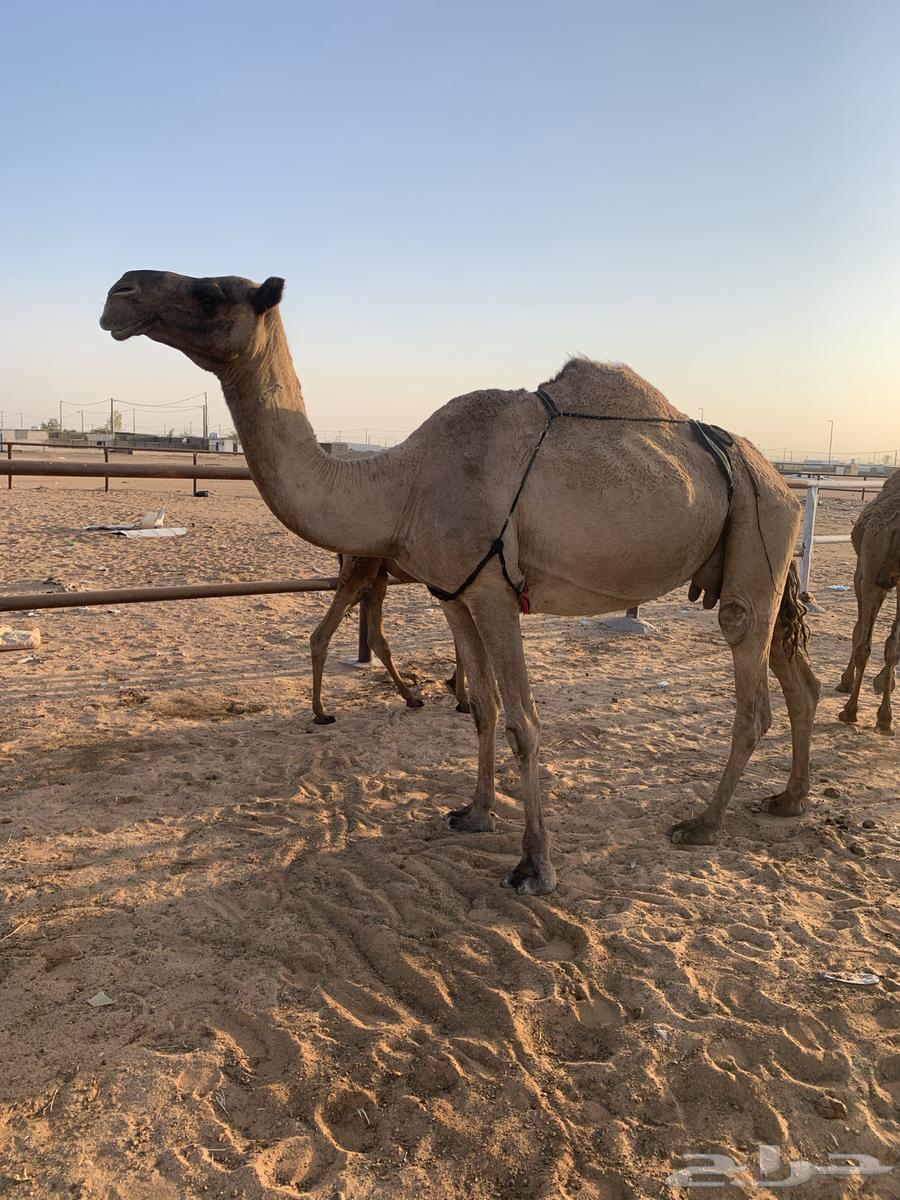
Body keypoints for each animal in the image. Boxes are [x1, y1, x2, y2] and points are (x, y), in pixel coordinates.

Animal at [310, 554, 468, 724]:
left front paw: (454, 684)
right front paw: (462, 698)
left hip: (378, 575)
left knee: (375, 637)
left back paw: (411, 698)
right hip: (363, 569)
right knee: (322, 634)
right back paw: (321, 713)